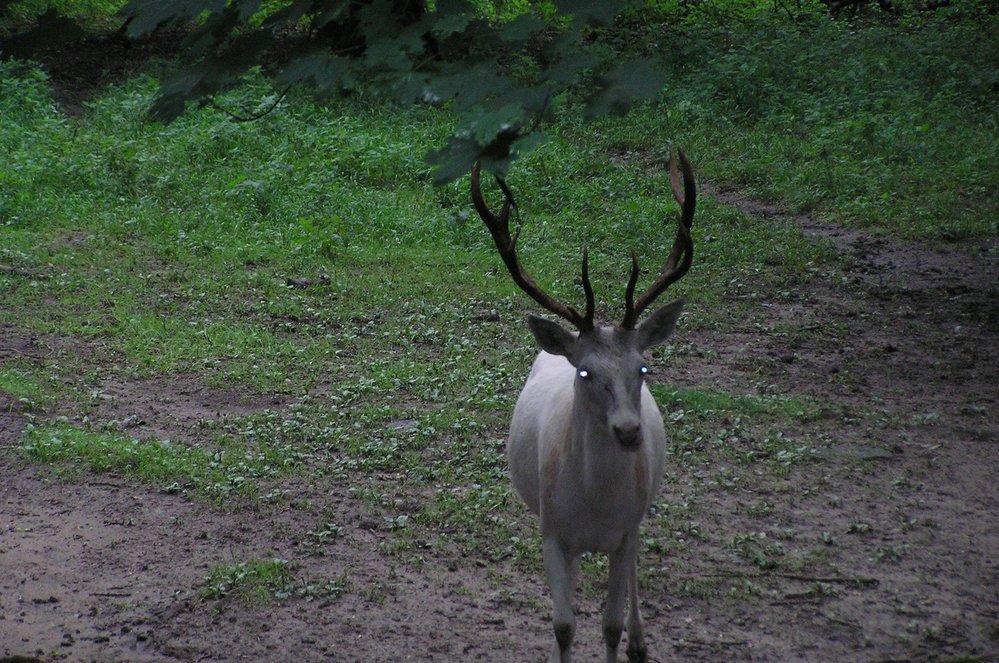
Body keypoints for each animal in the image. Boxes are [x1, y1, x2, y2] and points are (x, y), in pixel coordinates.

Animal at [470, 152, 696, 663]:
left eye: (643, 367)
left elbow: (610, 624)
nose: (629, 431)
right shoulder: (552, 533)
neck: (596, 508)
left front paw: (626, 640)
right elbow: (563, 625)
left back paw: (640, 643)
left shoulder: (625, 533)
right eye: (587, 372)